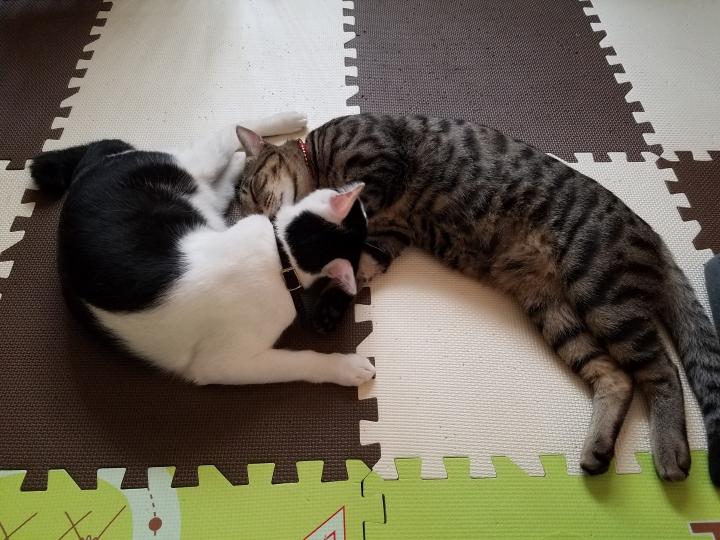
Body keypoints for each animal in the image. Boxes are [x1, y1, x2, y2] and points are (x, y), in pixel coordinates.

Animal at [29, 112, 376, 387]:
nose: (359, 196)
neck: (282, 253)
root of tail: (88, 168)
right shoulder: (224, 364)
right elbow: (301, 360)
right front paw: (346, 367)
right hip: (196, 166)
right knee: (228, 128)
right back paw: (279, 122)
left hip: (207, 201)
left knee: (223, 172)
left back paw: (244, 157)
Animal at [232, 113, 720, 485]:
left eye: (249, 190)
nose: (257, 223)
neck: (318, 155)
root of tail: (652, 234)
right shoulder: (387, 241)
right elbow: (353, 267)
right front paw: (328, 306)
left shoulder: (378, 164)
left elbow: (344, 215)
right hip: (557, 312)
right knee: (615, 376)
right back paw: (598, 449)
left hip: (602, 291)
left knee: (663, 372)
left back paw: (670, 450)